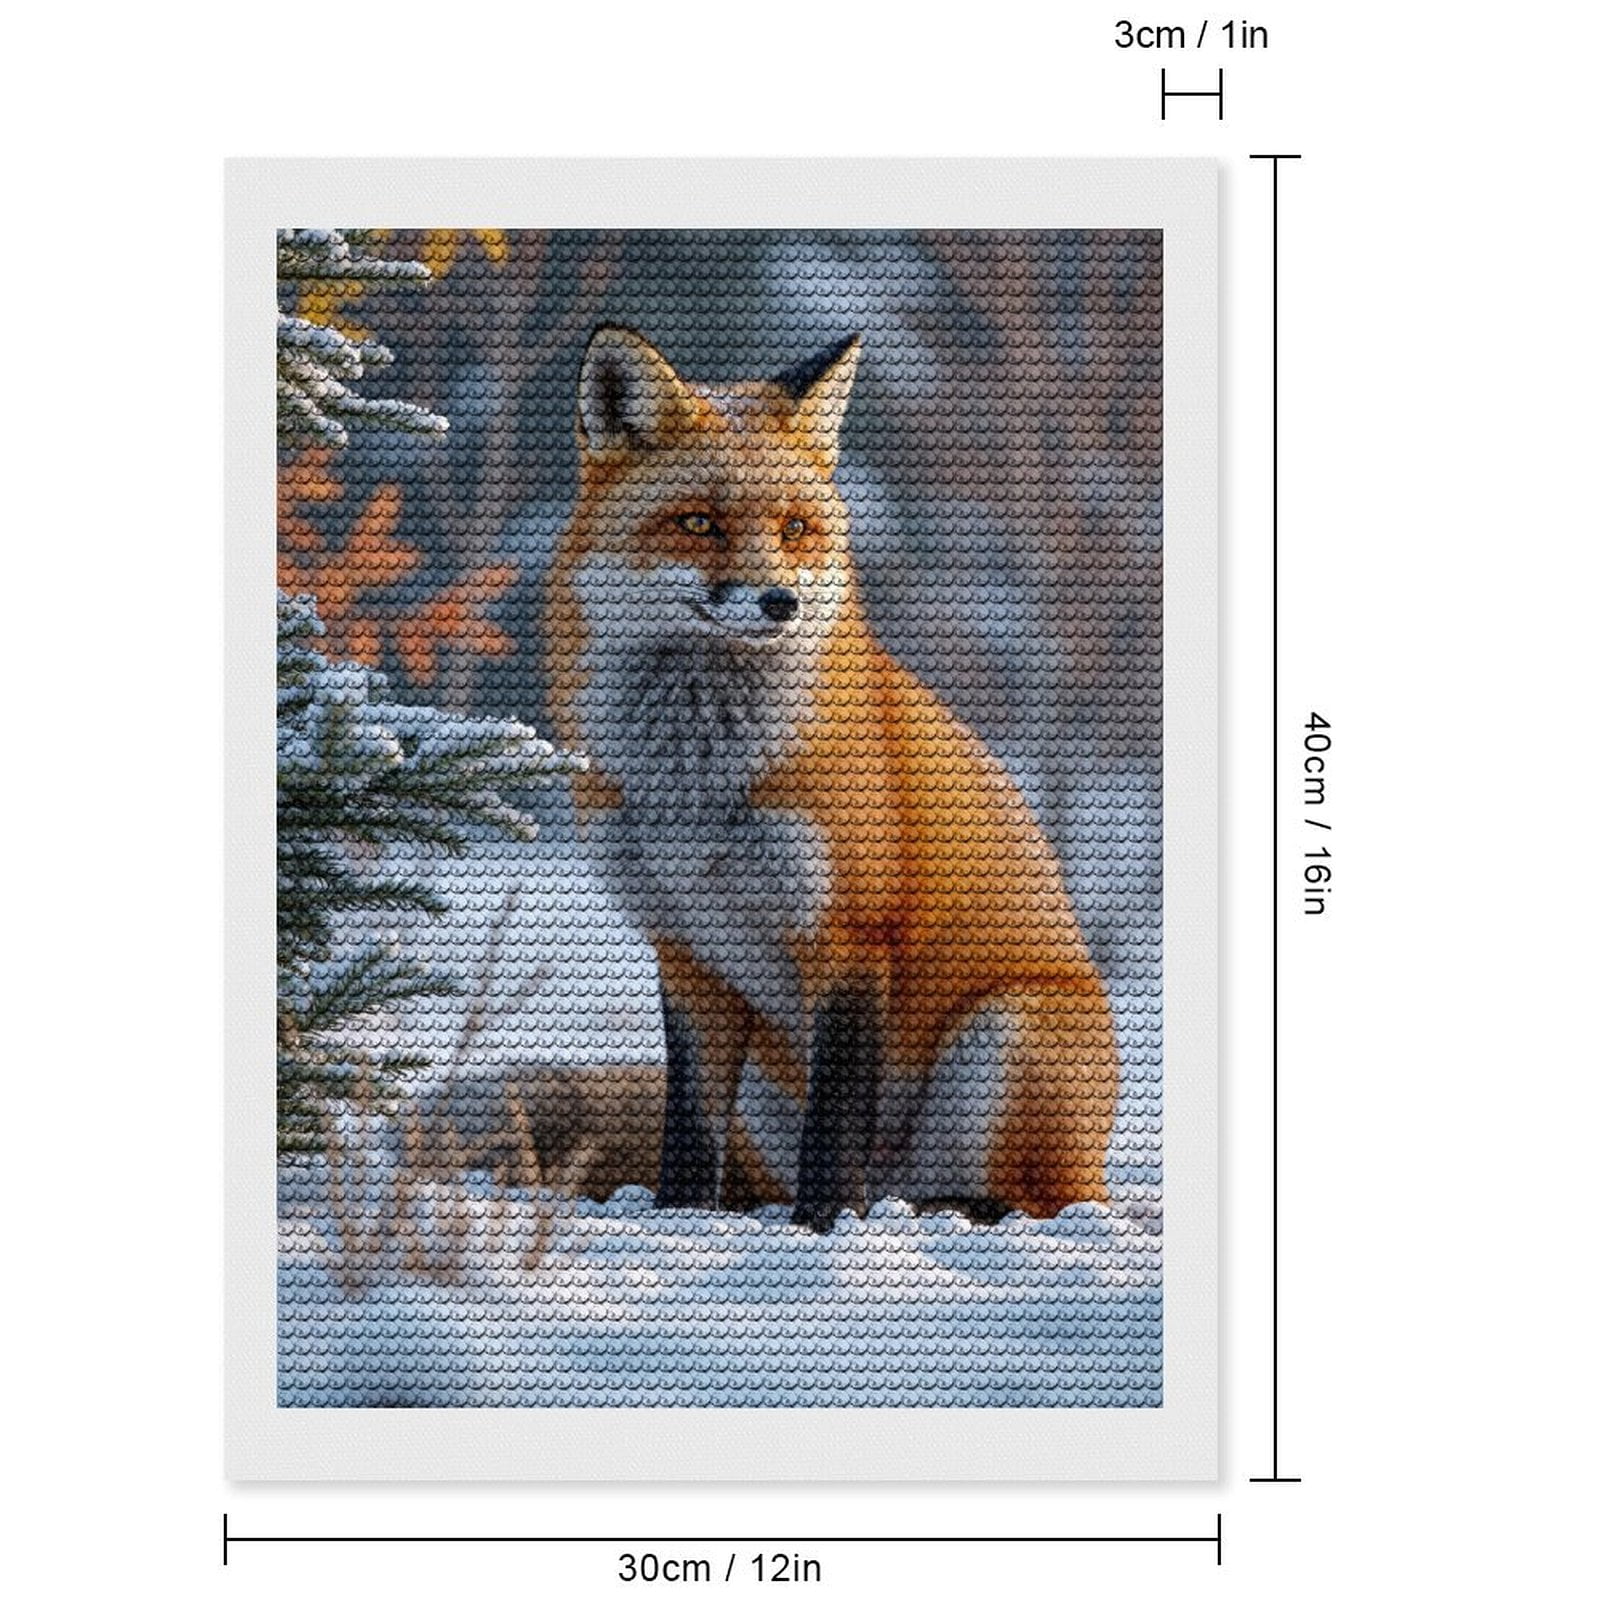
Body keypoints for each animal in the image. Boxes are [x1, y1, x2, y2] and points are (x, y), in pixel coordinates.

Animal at [544, 325, 1119, 1231]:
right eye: (698, 523)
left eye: (796, 527)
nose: (779, 602)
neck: (695, 780)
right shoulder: (688, 951)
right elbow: (689, 1132)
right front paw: (680, 1224)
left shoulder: (848, 933)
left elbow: (836, 1125)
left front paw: (824, 1232)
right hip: (768, 1089)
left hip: (1006, 1036)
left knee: (1032, 1203)